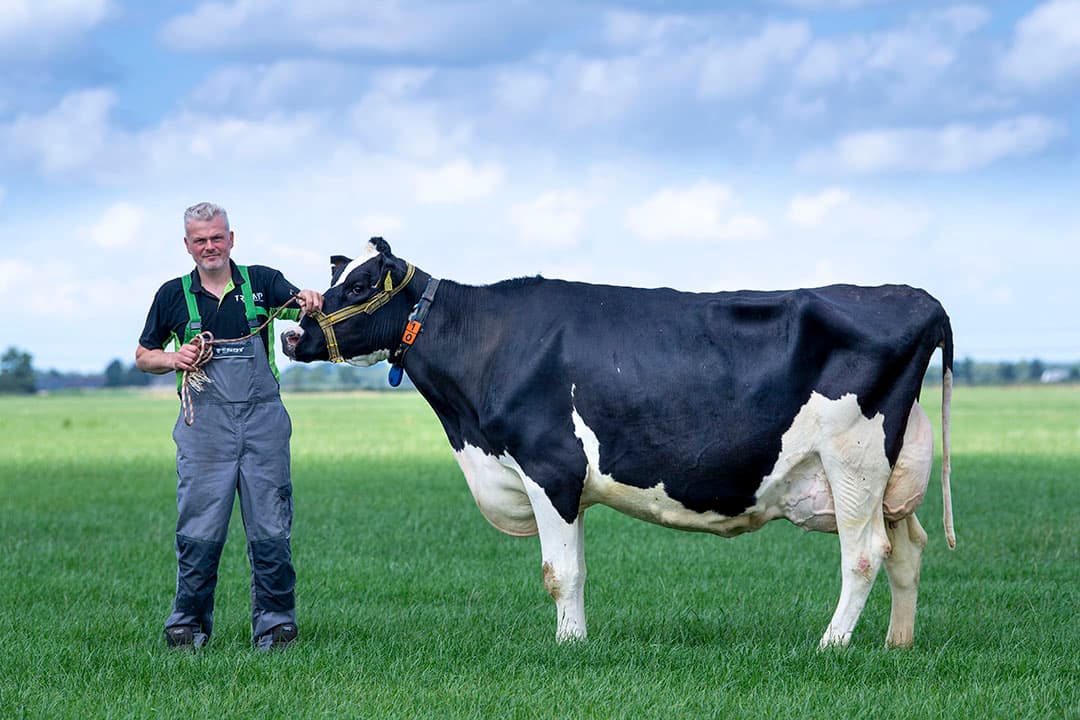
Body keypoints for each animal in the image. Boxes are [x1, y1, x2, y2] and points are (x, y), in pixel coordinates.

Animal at [282, 238, 955, 649]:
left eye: (359, 285)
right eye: (334, 278)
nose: (290, 335)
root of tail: (914, 295)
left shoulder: (549, 467)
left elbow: (559, 572)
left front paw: (567, 645)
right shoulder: (564, 482)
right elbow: (574, 569)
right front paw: (576, 641)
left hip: (853, 459)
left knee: (864, 553)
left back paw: (830, 645)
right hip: (888, 473)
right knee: (906, 548)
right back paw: (896, 644)